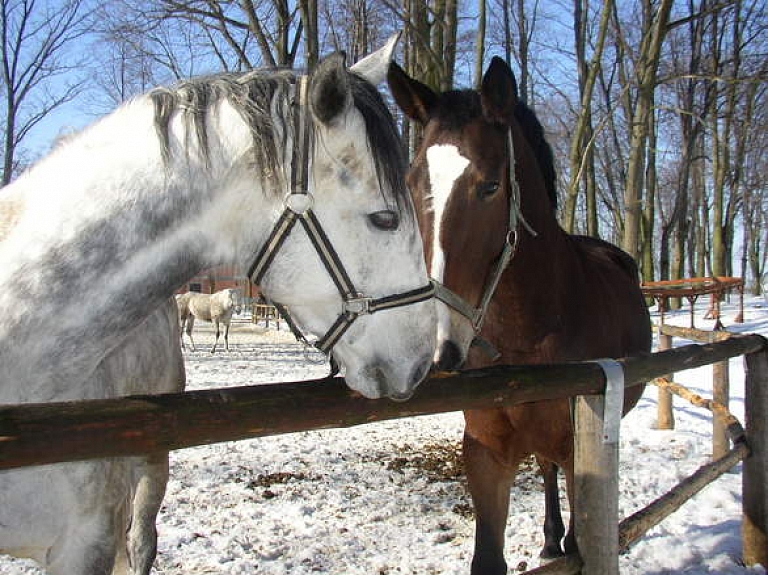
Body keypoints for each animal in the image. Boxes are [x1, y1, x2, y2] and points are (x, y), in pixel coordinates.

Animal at [390, 59, 656, 575]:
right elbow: (488, 558)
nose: (427, 344)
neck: (530, 332)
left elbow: (579, 546)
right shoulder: (486, 453)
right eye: (412, 184)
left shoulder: (579, 454)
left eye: (491, 186)